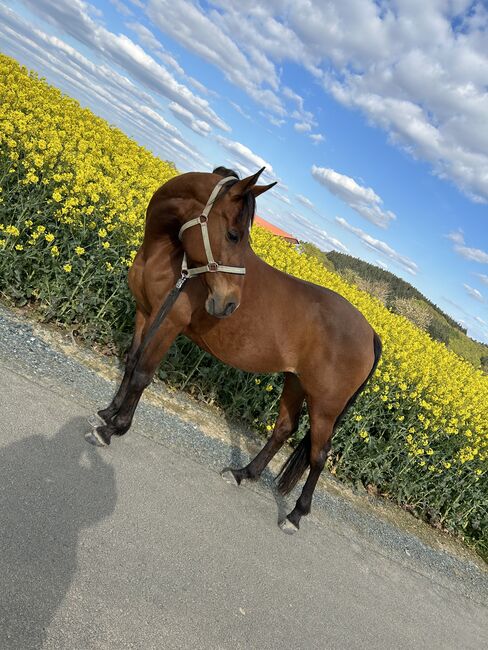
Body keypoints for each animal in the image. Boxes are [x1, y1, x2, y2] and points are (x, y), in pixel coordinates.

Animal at [86, 166, 382, 532]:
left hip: (325, 403)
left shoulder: (167, 323)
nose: (229, 304)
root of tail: (370, 333)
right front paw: (108, 412)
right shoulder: (145, 313)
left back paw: (295, 515)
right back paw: (243, 473)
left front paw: (113, 428)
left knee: (319, 453)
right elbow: (130, 363)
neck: (170, 255)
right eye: (233, 235)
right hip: (295, 381)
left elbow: (142, 374)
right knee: (284, 429)